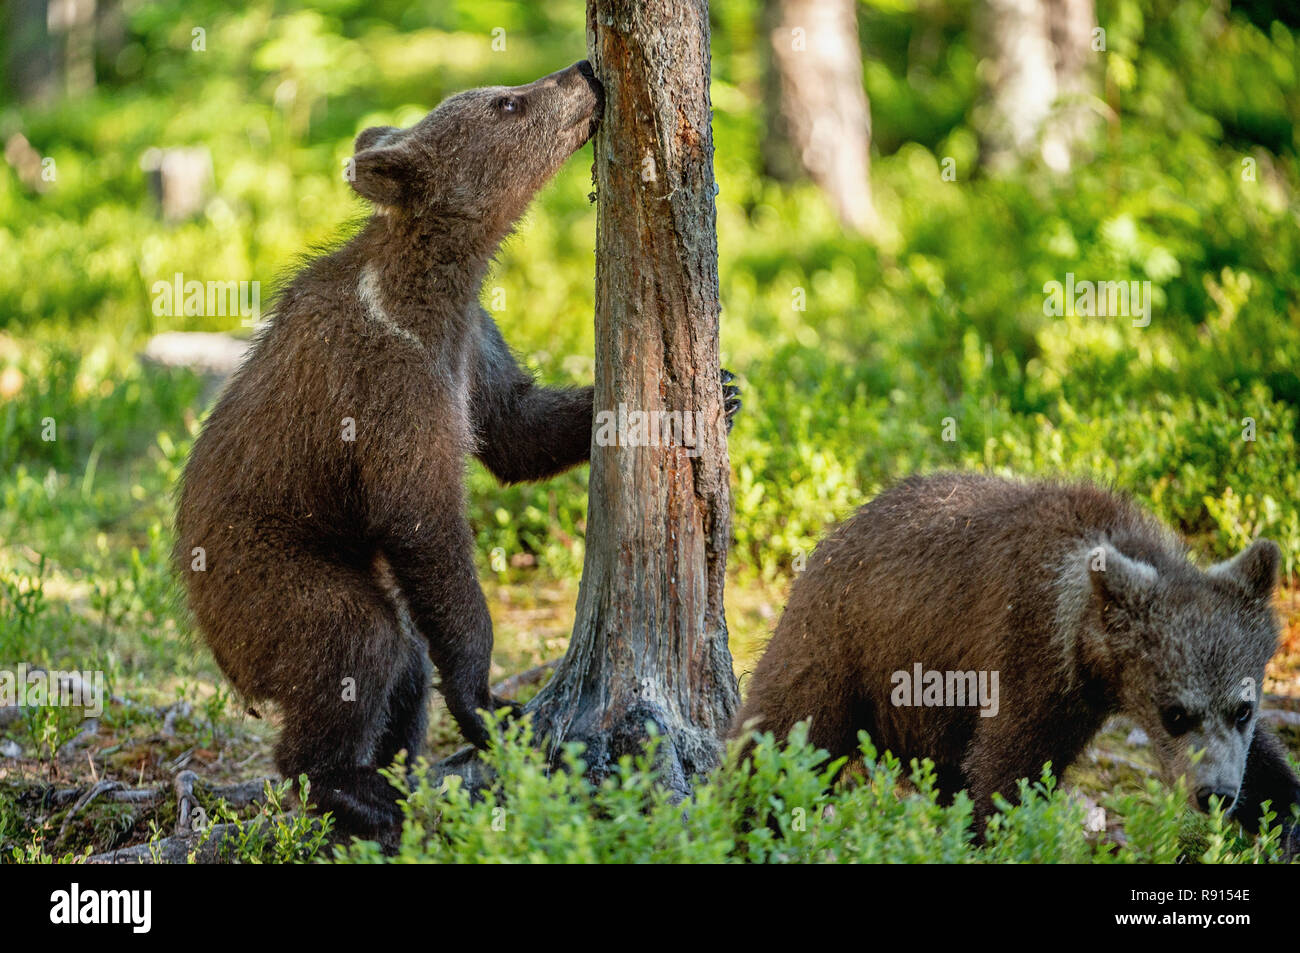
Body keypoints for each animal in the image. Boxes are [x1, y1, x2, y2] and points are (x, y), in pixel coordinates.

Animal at [175, 61, 623, 837]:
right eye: (507, 103)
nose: (583, 71)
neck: (431, 287)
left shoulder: (472, 346)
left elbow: (515, 428)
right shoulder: (390, 386)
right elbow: (423, 521)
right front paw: (487, 704)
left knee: (404, 661)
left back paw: (392, 773)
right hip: (262, 574)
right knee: (358, 641)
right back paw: (350, 787)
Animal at [733, 472, 1300, 853]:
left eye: (1242, 709)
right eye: (1175, 714)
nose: (1216, 794)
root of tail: (829, 537)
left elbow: (1265, 763)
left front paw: (1283, 812)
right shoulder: (1028, 664)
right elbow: (1004, 780)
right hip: (841, 649)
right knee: (782, 739)